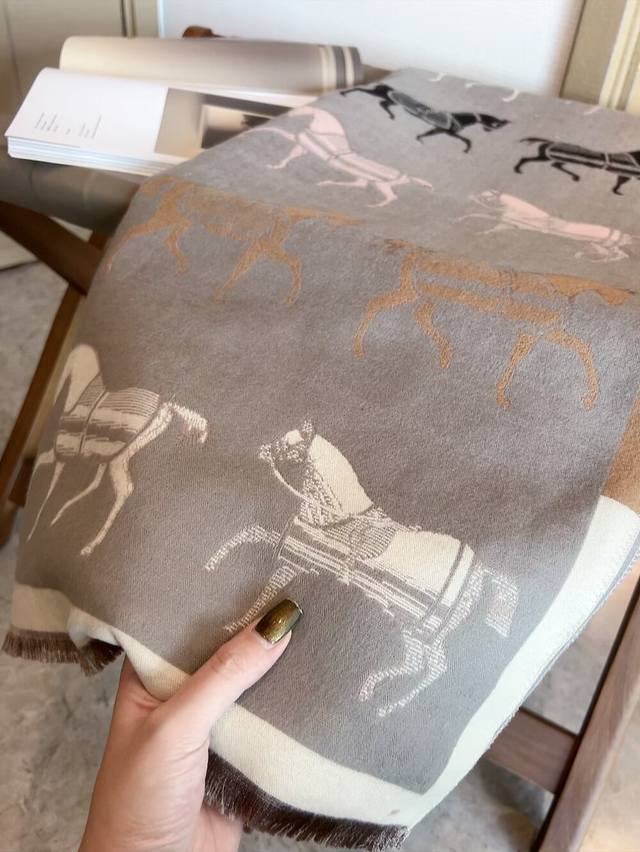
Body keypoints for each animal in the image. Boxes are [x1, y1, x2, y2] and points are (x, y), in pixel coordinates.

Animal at [27, 344, 208, 557]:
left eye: (65, 371)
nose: (54, 399)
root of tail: (165, 406)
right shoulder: (91, 460)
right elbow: (85, 485)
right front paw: (56, 516)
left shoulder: (61, 457)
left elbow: (48, 483)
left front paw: (40, 524)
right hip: (122, 456)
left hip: (119, 459)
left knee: (124, 490)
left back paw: (89, 546)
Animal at [342, 84, 509, 151]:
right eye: (495, 125)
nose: (488, 131)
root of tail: (384, 85)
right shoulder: (448, 132)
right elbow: (467, 140)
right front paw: (467, 149)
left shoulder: (440, 130)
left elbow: (428, 134)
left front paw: (419, 138)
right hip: (382, 95)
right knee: (362, 90)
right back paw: (344, 93)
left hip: (390, 100)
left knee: (382, 104)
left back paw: (391, 115)